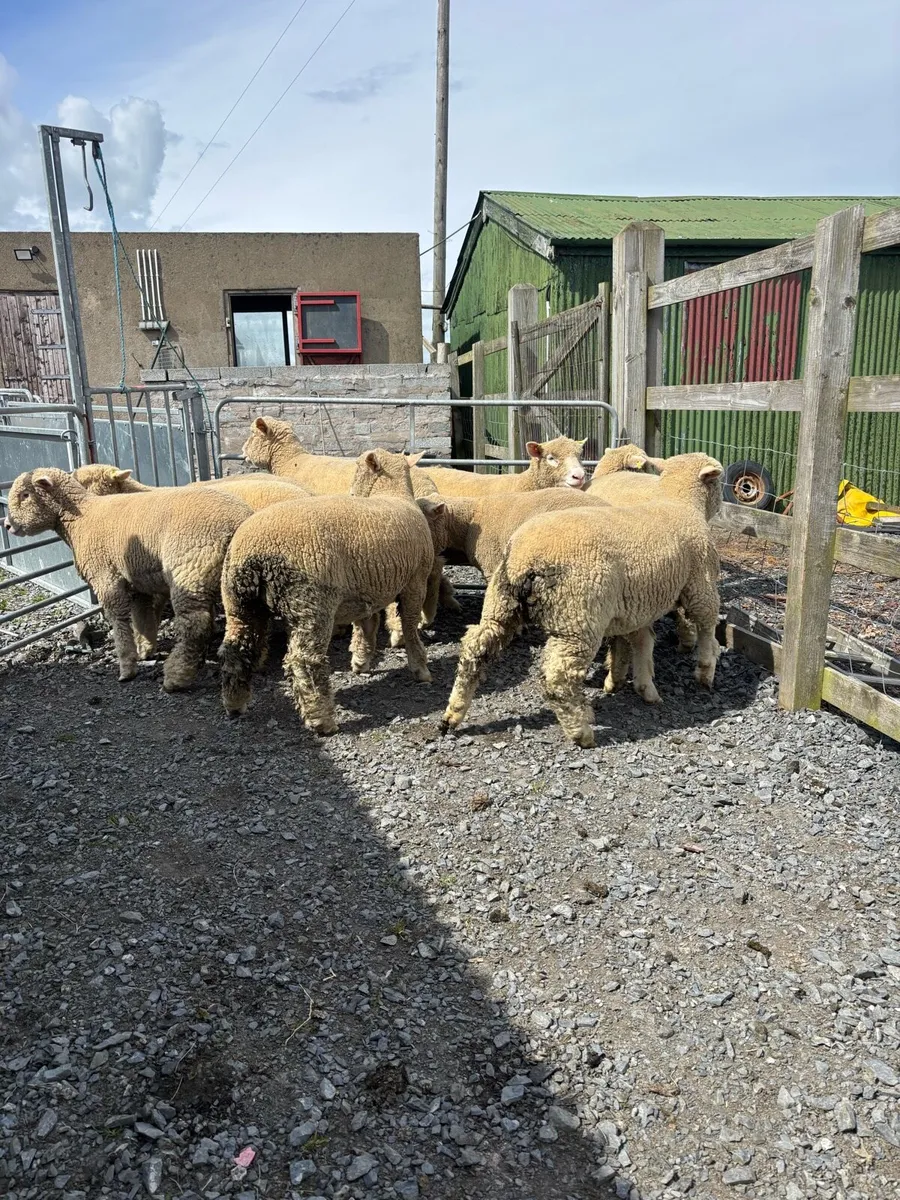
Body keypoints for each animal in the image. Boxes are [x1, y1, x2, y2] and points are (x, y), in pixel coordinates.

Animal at [4, 467, 250, 691]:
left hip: (190, 569)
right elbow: (142, 616)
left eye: (25, 495)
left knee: (195, 625)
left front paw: (126, 667)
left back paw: (176, 677)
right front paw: (145, 649)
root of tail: (239, 521)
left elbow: (119, 620)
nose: (7, 525)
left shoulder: (105, 577)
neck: (80, 519)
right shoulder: (137, 581)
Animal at [218, 448, 440, 735]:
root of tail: (257, 554)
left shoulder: (368, 590)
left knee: (236, 650)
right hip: (311, 604)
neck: (391, 493)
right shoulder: (415, 582)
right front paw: (420, 669)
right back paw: (322, 719)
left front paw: (361, 661)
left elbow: (367, 626)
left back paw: (235, 703)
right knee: (304, 661)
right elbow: (410, 626)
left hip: (239, 602)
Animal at [440, 453, 723, 748]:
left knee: (475, 648)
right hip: (577, 618)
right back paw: (581, 732)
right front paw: (705, 672)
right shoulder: (700, 584)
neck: (677, 502)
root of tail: (526, 559)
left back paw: (452, 714)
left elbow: (638, 642)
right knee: (558, 677)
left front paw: (633, 684)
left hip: (502, 603)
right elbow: (706, 625)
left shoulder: (633, 606)